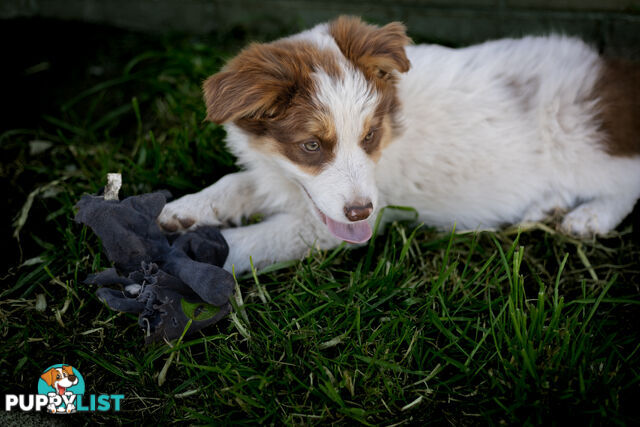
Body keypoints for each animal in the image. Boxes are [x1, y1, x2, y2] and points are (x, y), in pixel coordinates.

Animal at [159, 15, 640, 274]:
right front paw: (184, 211)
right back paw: (545, 207)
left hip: (582, 140)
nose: (360, 212)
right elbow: (235, 183)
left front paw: (181, 262)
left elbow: (257, 240)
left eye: (369, 136)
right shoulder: (281, 178)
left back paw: (589, 217)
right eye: (311, 146)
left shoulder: (330, 226)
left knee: (628, 180)